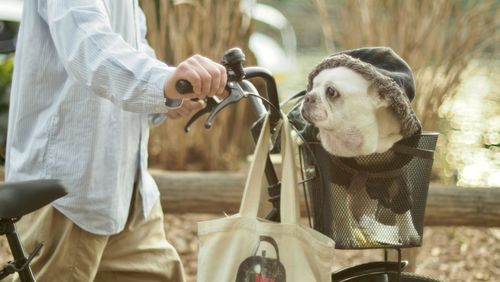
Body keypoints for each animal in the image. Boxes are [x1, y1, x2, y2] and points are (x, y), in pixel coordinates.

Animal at [298, 48, 424, 247]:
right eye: (311, 87)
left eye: (331, 91)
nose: (308, 96)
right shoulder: (336, 177)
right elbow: (340, 212)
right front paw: (345, 237)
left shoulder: (398, 175)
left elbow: (402, 205)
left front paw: (409, 234)